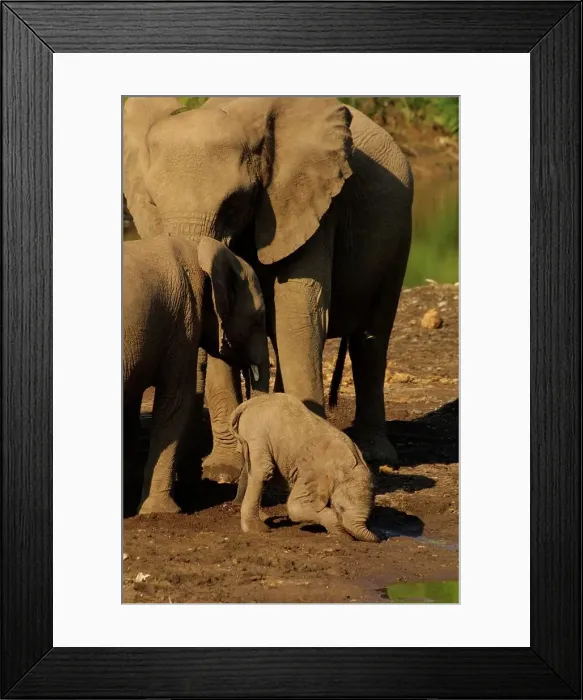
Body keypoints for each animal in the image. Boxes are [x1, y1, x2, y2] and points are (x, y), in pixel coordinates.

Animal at [123, 96, 413, 482]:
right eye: (152, 204)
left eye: (234, 203)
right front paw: (222, 471)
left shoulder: (310, 204)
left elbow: (299, 313)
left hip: (399, 233)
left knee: (372, 337)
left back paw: (375, 452)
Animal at [123, 235, 269, 515]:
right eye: (259, 318)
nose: (234, 504)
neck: (200, 249)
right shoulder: (183, 320)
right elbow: (177, 400)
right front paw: (160, 512)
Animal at [229, 393, 379, 542]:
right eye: (341, 508)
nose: (379, 538)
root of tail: (249, 403)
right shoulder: (311, 473)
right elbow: (295, 506)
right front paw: (342, 535)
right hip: (257, 430)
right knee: (262, 471)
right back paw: (258, 530)